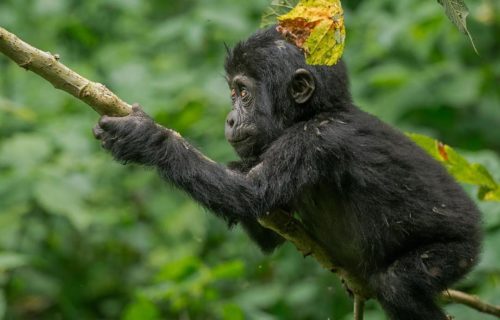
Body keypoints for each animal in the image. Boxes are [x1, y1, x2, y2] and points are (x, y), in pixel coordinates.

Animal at [93, 26, 480, 318]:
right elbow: (267, 226)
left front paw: (144, 136)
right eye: (231, 93)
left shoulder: (314, 140)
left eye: (243, 93)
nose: (230, 118)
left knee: (399, 285)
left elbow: (249, 195)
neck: (312, 114)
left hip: (457, 250)